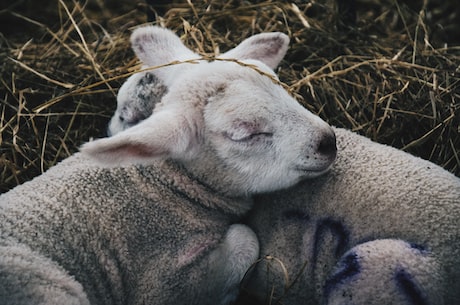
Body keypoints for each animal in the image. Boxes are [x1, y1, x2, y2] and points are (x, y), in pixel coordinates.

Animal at [0, 26, 338, 304]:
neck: (163, 183)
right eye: (245, 133)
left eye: (282, 88)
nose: (329, 141)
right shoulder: (163, 285)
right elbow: (246, 238)